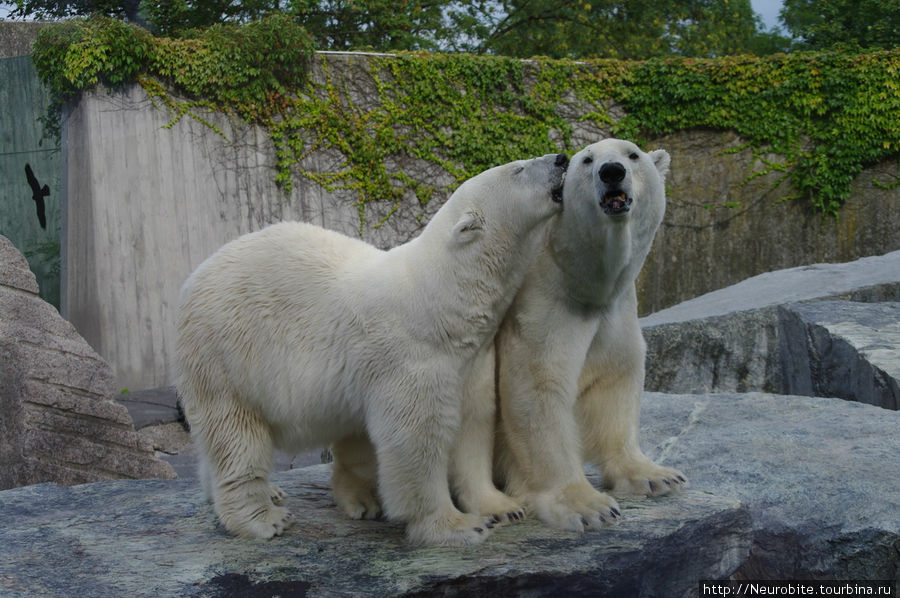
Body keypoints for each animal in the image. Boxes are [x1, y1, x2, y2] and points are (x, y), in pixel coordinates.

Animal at [176, 152, 568, 548]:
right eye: (519, 168)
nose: (561, 158)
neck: (440, 301)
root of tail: (195, 276)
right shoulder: (413, 356)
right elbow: (416, 438)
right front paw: (455, 526)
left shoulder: (472, 359)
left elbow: (473, 423)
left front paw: (502, 507)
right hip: (227, 353)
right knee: (237, 435)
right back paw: (263, 518)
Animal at [486, 138, 688, 532]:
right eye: (587, 161)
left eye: (632, 155)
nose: (612, 172)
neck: (585, 282)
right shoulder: (543, 303)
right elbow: (538, 385)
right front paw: (587, 506)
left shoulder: (616, 311)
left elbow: (615, 377)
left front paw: (657, 476)